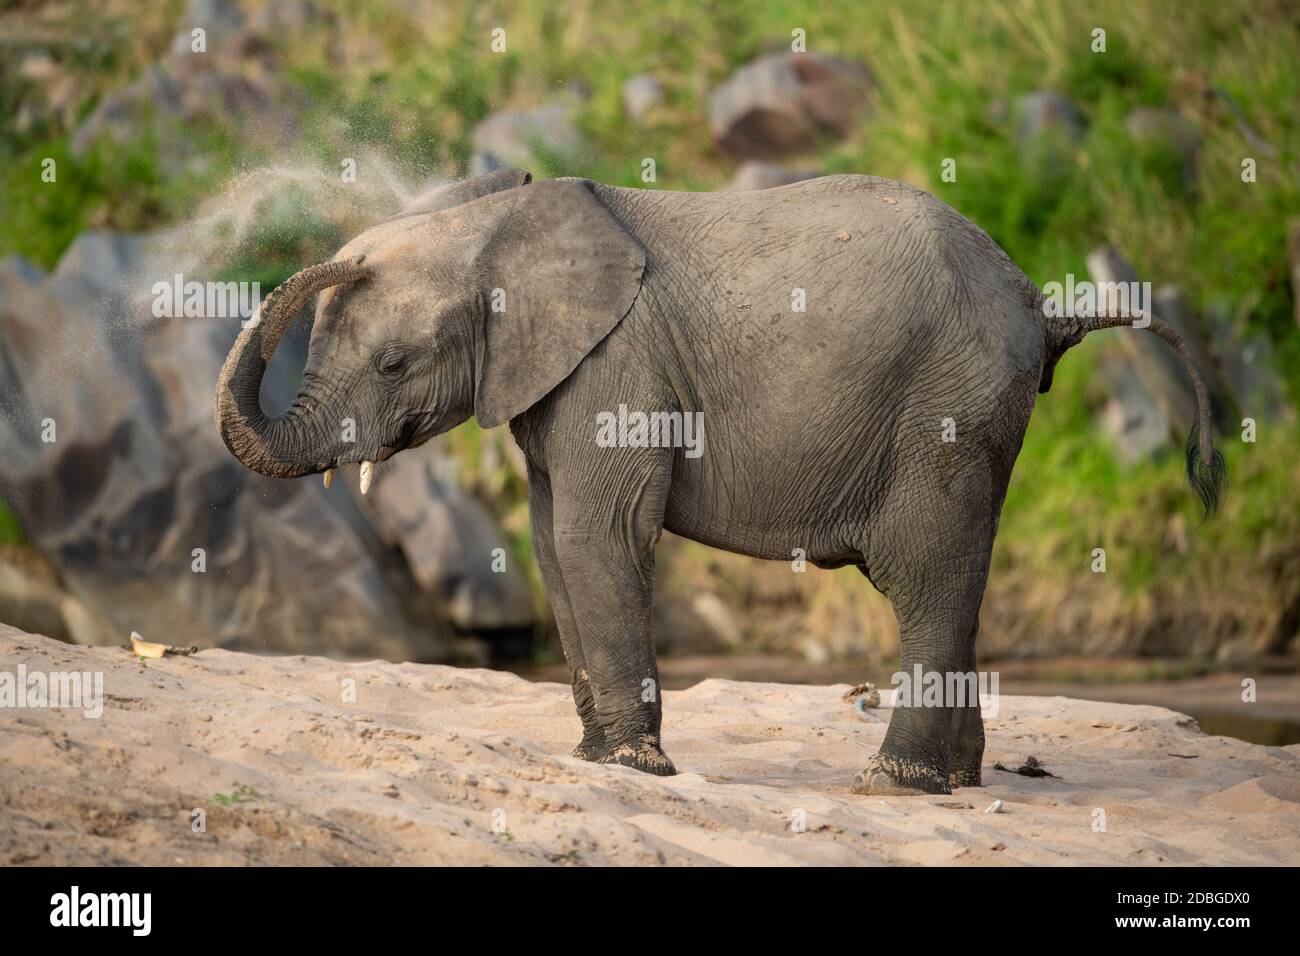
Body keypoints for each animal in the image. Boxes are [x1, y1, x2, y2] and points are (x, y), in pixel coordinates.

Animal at [215, 167, 1227, 796]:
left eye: (393, 363)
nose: (334, 255)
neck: (497, 222)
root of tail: (1040, 304)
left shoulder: (617, 367)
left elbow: (597, 536)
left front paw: (632, 770)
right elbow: (551, 541)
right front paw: (596, 759)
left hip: (945, 411)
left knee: (929, 574)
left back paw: (893, 785)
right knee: (960, 575)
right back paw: (960, 780)